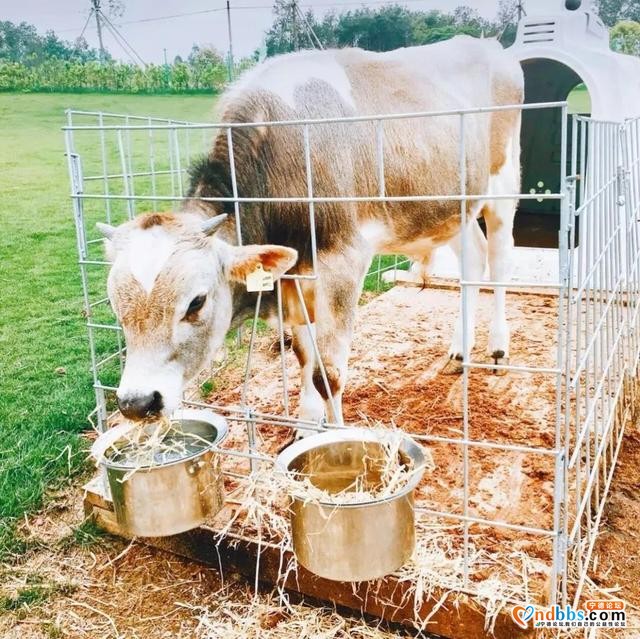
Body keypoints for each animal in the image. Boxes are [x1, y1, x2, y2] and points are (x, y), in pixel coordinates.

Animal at [97, 35, 524, 424]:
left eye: (196, 302)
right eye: (116, 306)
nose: (136, 403)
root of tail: (488, 46)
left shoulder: (343, 263)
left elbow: (327, 375)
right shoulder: (293, 277)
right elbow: (304, 357)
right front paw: (305, 427)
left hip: (503, 183)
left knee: (500, 260)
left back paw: (498, 347)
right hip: (454, 206)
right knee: (473, 261)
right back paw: (459, 351)